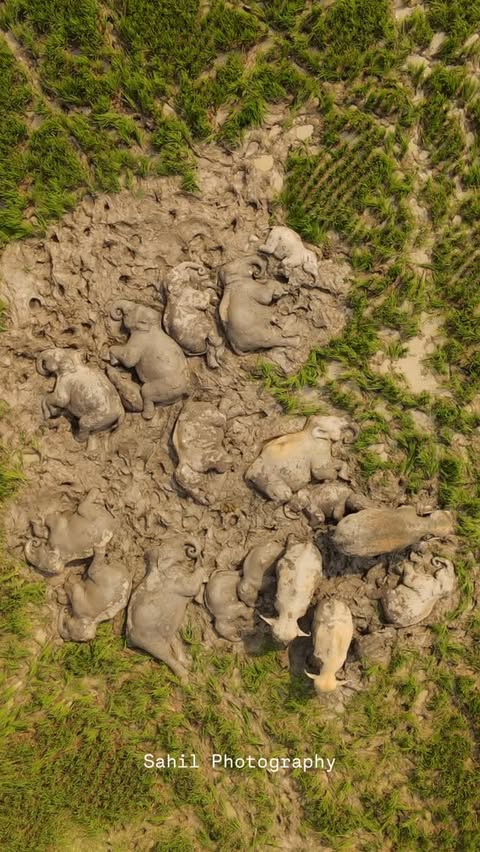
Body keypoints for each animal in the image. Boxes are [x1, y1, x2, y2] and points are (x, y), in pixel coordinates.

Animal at [126, 536, 205, 679]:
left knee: (173, 640)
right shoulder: (174, 581)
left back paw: (188, 662)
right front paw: (204, 573)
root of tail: (129, 639)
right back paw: (185, 677)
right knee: (163, 653)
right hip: (147, 639)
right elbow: (191, 586)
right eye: (174, 545)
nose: (191, 550)